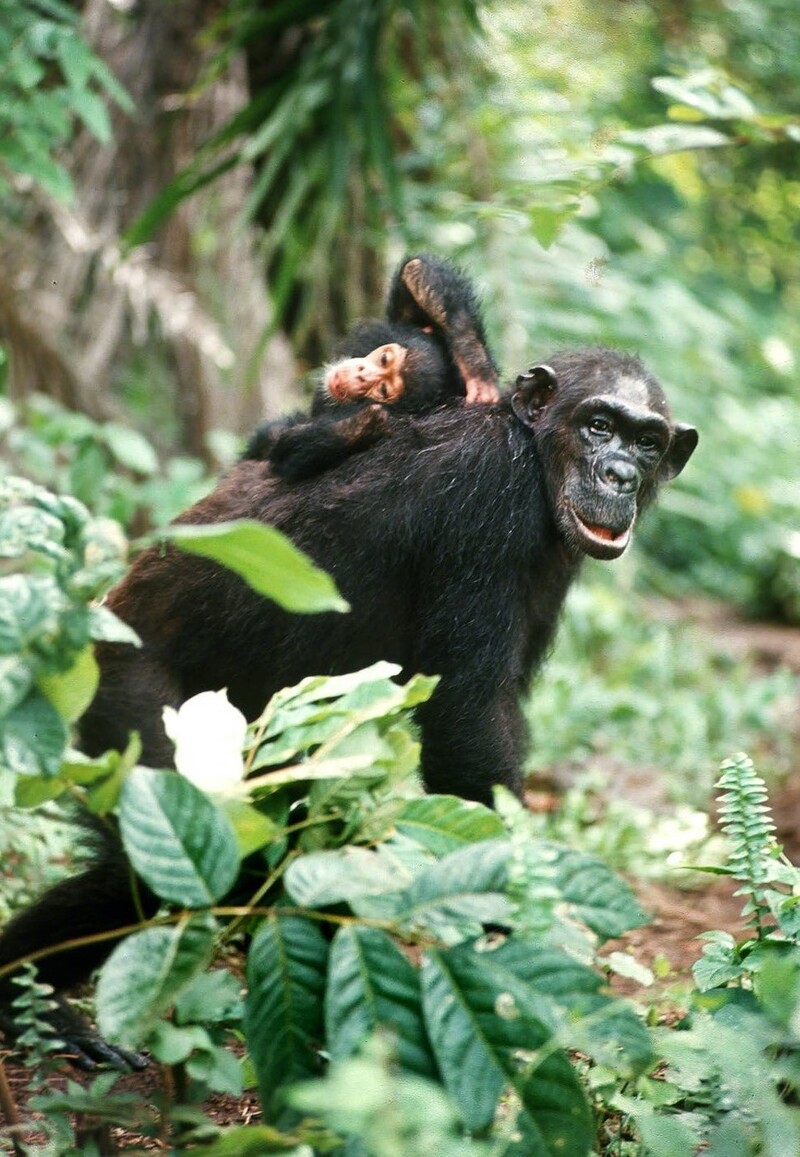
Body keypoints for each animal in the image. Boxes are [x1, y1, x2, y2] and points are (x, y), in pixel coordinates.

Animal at [0, 342, 699, 1064]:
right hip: (123, 691)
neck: (533, 457)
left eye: (646, 442)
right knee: (162, 854)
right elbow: (468, 718)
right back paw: (34, 1008)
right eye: (598, 425)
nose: (619, 473)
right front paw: (512, 918)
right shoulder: (487, 497)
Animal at [244, 254, 500, 483]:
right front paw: (475, 362)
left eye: (383, 389)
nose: (362, 375)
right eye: (385, 359)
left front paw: (368, 421)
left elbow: (286, 447)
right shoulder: (407, 324)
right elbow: (415, 271)